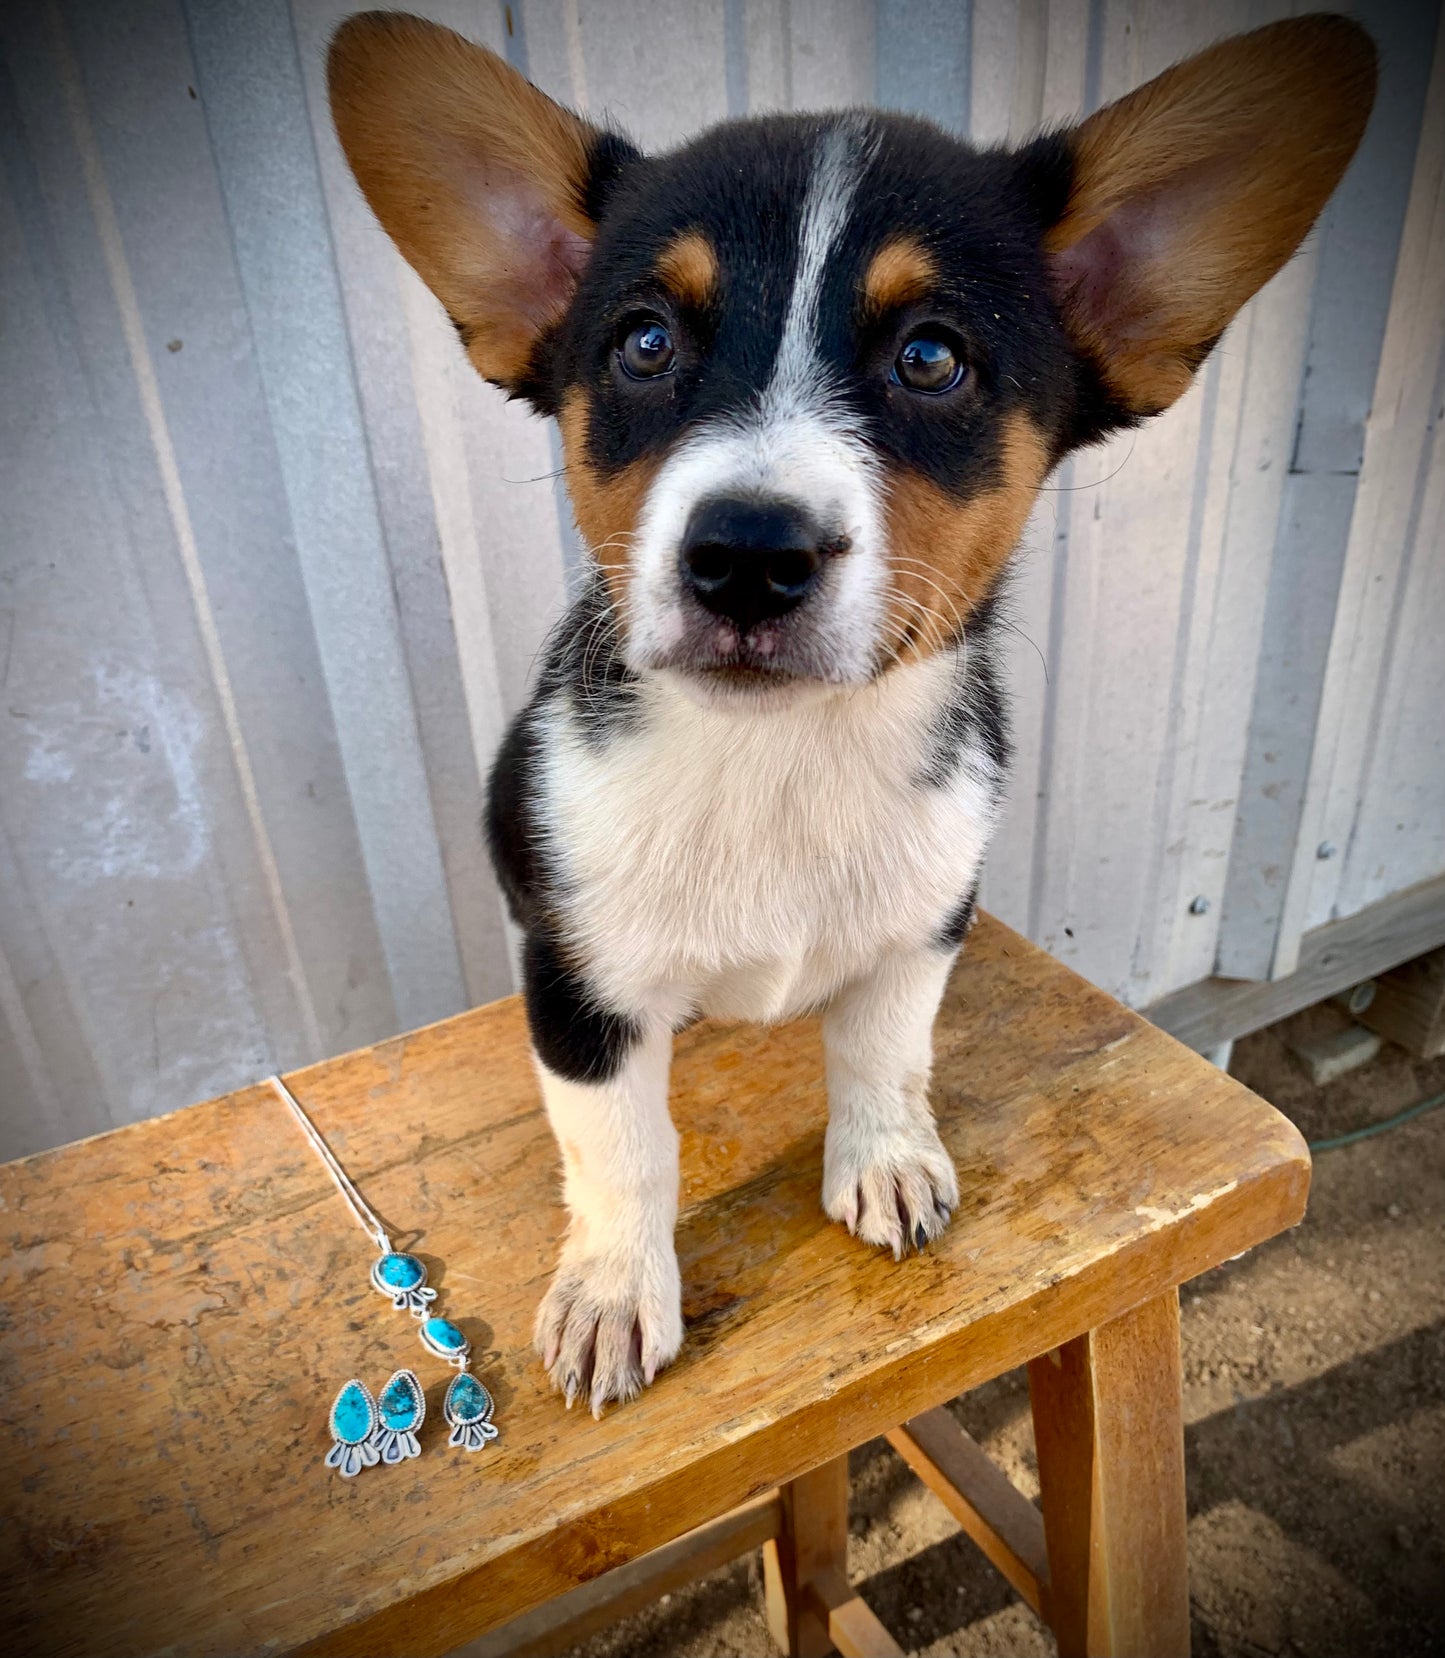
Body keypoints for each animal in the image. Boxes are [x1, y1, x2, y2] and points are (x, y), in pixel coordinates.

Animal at [329, 9, 1378, 1412]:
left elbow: (883, 1049)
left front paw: (881, 1159)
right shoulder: (578, 984)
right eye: (644, 342)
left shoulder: (923, 922)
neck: (780, 759)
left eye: (929, 356)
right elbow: (623, 1149)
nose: (745, 555)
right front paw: (611, 1291)